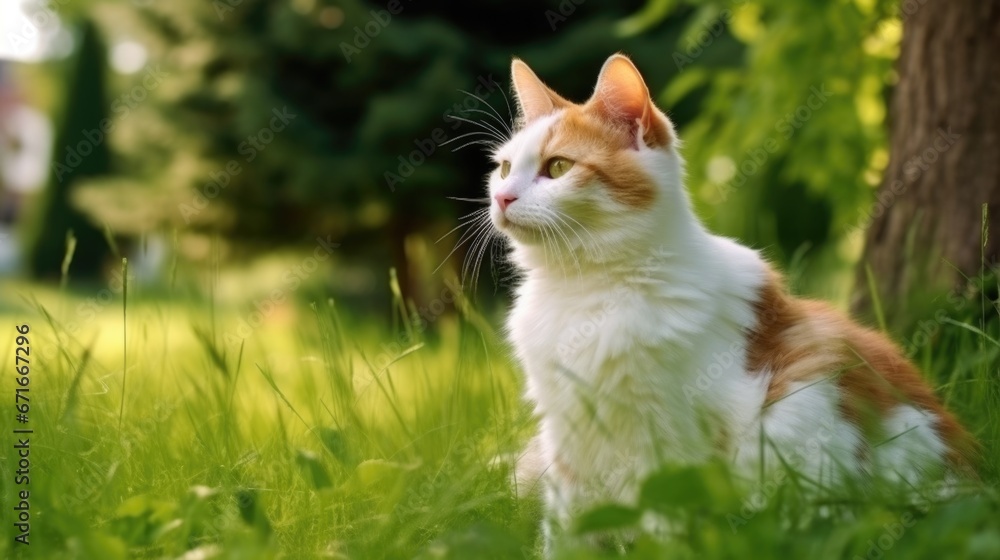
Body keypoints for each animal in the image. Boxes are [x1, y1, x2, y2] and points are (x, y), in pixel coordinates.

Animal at [484, 53, 976, 548]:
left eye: (558, 167)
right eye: (504, 169)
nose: (502, 197)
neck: (583, 287)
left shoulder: (673, 434)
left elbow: (665, 518)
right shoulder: (566, 435)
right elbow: (567, 528)